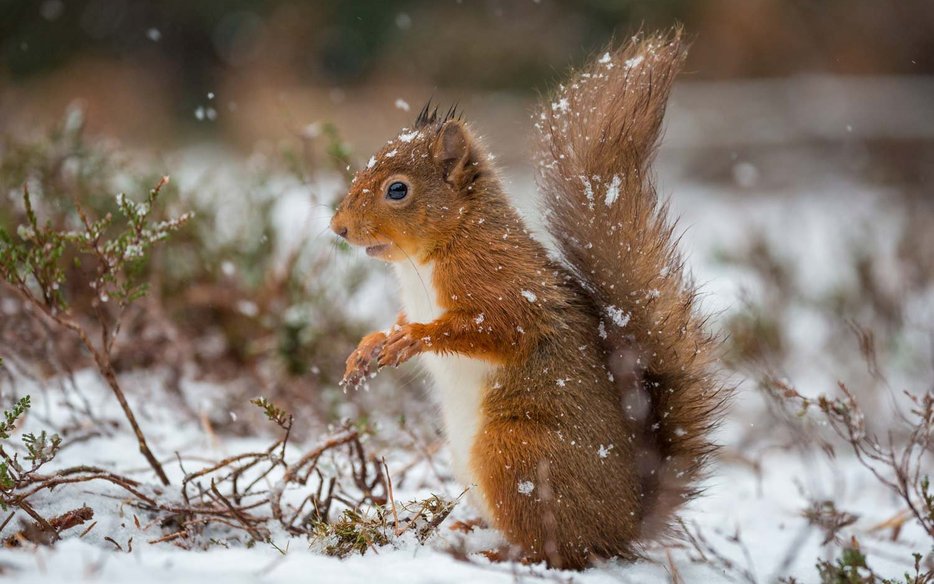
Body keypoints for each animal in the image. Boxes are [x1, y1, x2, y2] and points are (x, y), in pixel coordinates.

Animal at [330, 29, 724, 568]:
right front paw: (368, 347)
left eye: (397, 190)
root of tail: (625, 526)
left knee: (559, 550)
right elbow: (392, 322)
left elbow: (495, 330)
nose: (337, 227)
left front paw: (416, 337)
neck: (434, 254)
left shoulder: (507, 287)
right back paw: (469, 528)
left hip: (514, 454)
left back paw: (501, 554)